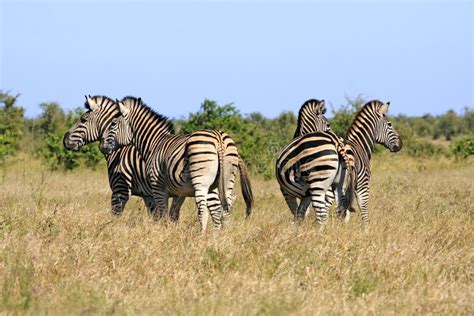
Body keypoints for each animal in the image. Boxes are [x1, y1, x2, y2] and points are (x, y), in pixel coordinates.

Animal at [98, 95, 254, 231]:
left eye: (113, 124)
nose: (102, 146)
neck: (154, 143)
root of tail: (219, 138)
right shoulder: (176, 192)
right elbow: (170, 215)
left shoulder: (158, 188)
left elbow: (162, 216)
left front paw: (162, 235)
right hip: (225, 181)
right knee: (224, 211)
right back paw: (221, 238)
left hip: (202, 183)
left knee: (204, 212)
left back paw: (202, 237)